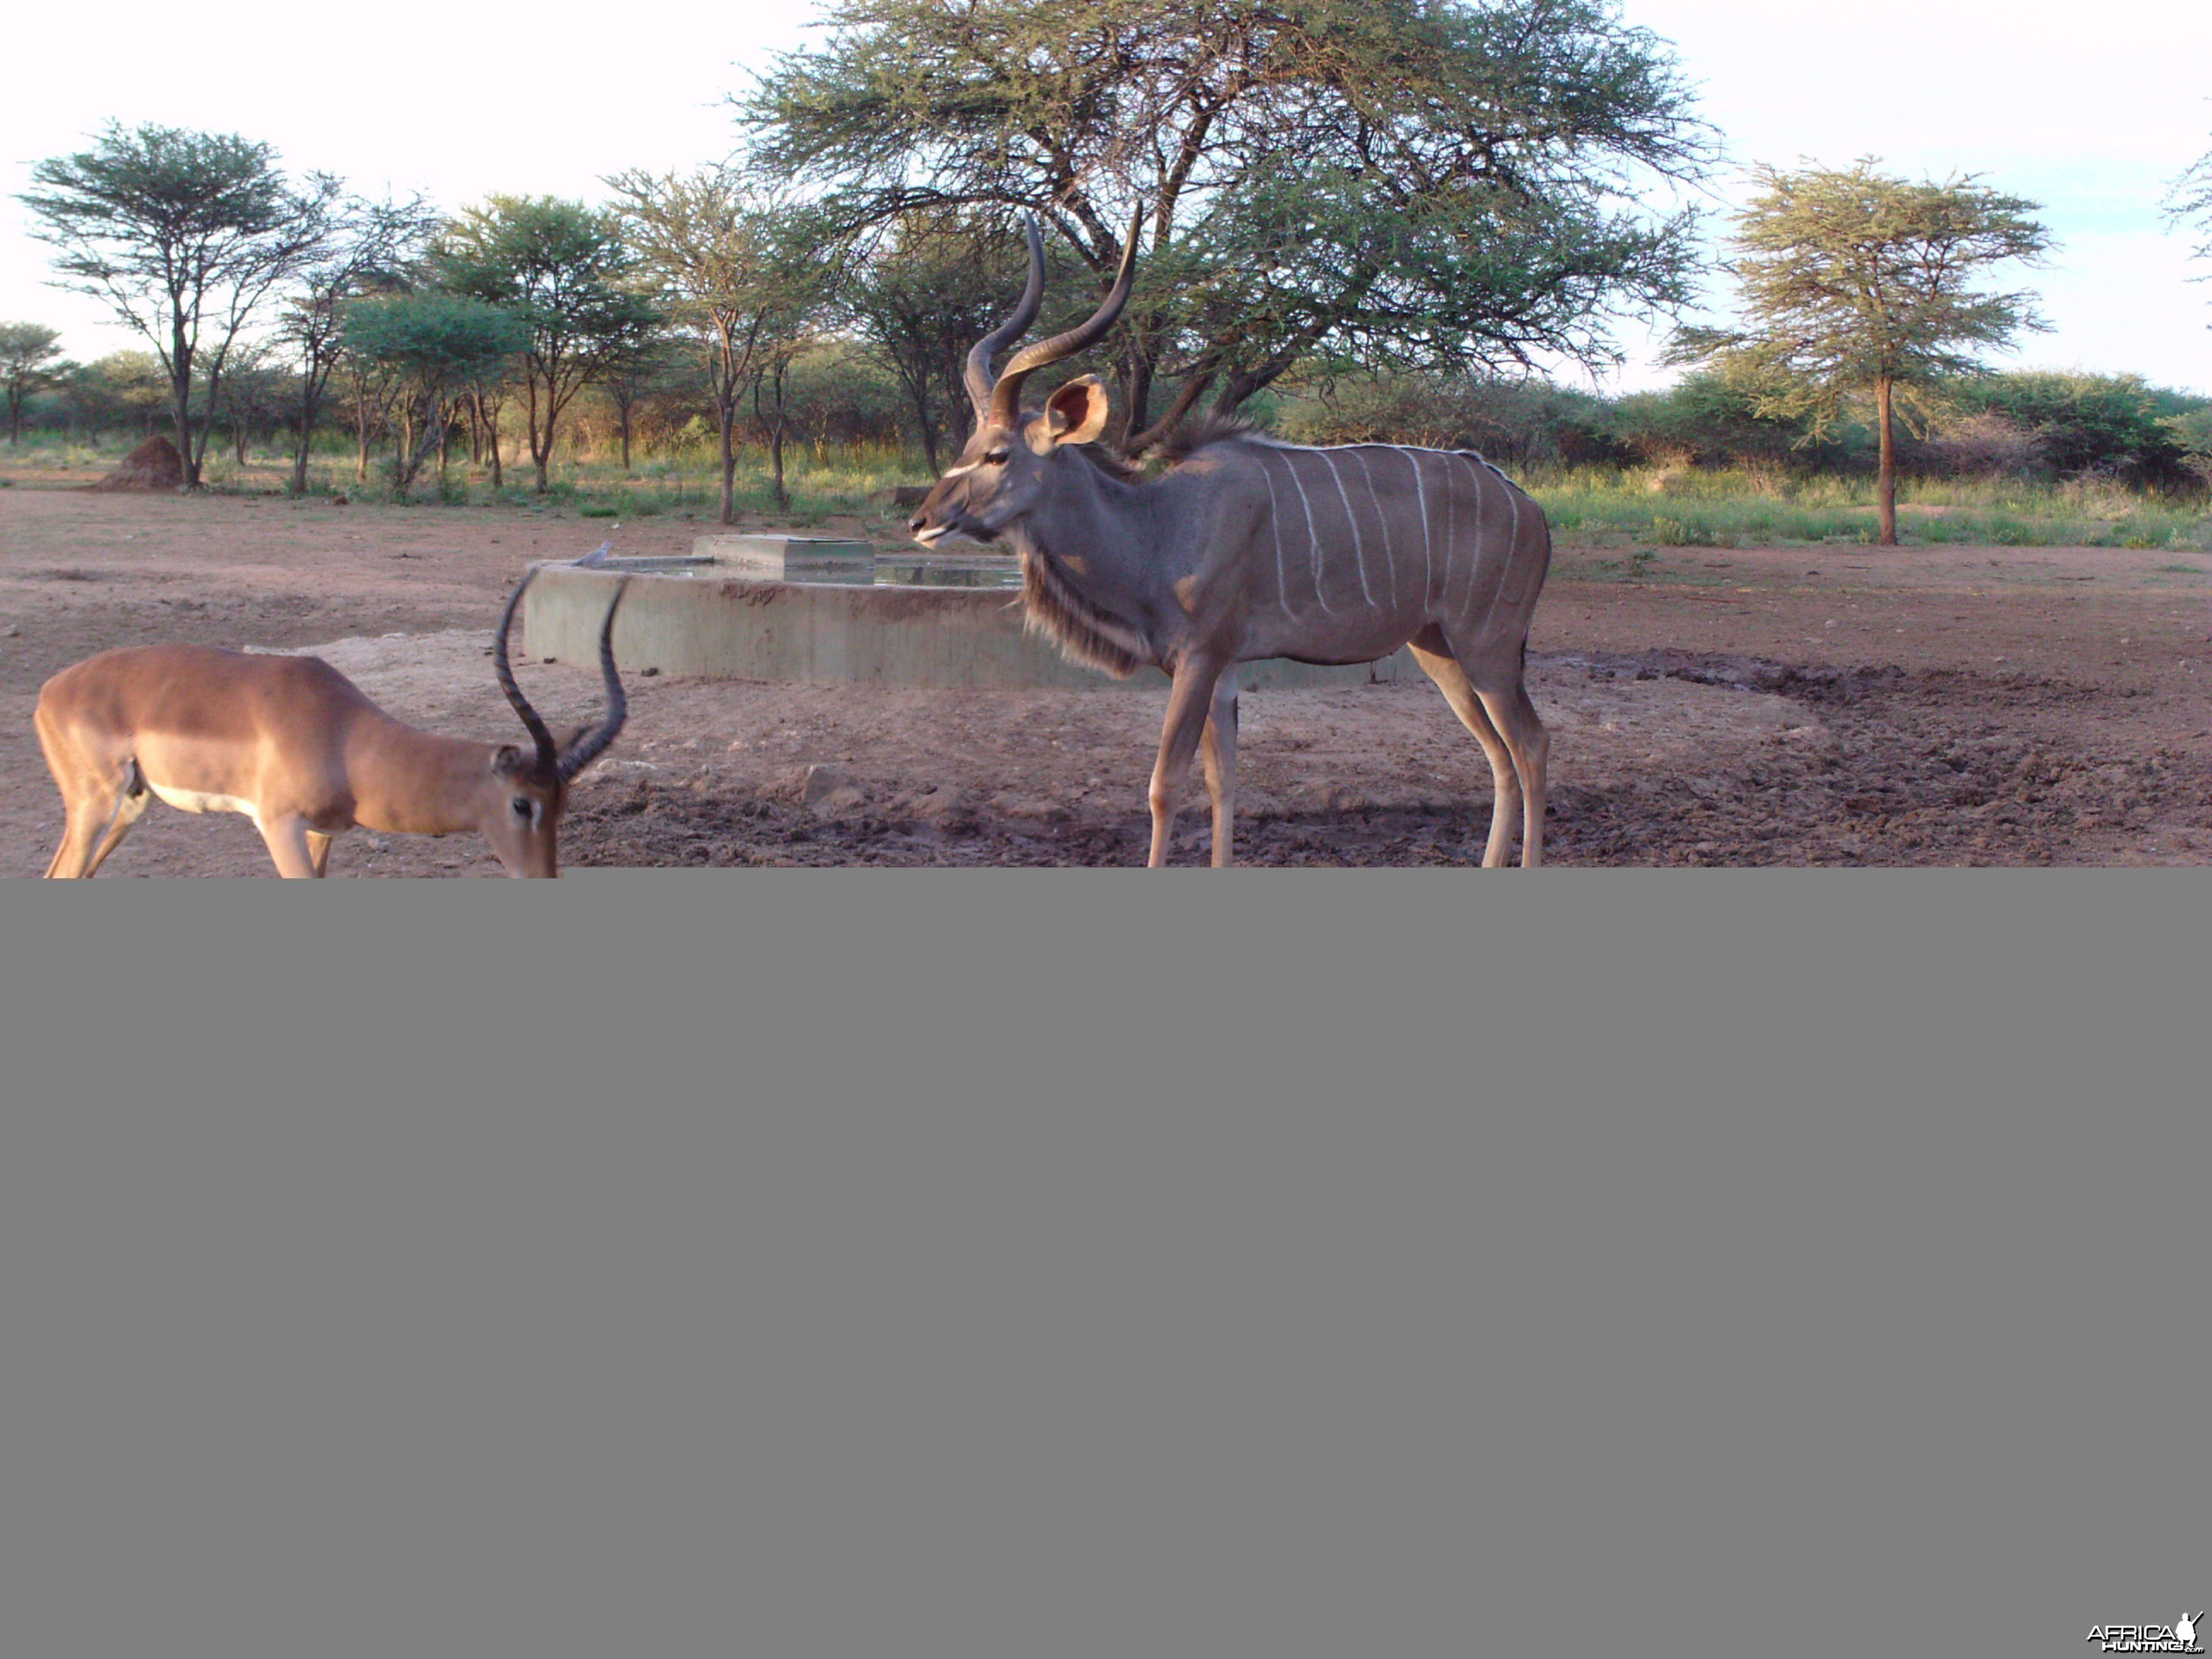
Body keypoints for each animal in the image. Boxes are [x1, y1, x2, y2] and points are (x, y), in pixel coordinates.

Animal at [911, 211, 1557, 872]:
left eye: (998, 454)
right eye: (966, 446)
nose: (922, 521)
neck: (1158, 525)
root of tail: (1530, 508)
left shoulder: (1197, 658)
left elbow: (1165, 785)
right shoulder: (1221, 668)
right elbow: (1224, 781)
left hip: (1487, 646)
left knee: (1531, 744)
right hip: (1438, 648)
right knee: (1499, 753)